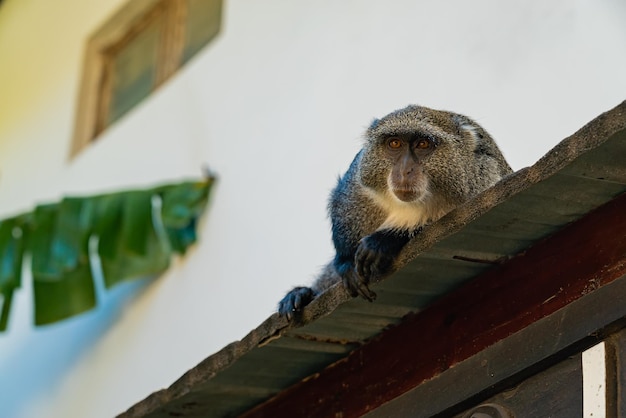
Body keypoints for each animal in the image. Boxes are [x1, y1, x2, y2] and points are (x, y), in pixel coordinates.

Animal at [276, 105, 510, 320]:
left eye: (423, 144)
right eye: (394, 143)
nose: (405, 170)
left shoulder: (483, 183)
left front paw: (383, 241)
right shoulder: (357, 178)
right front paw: (345, 267)